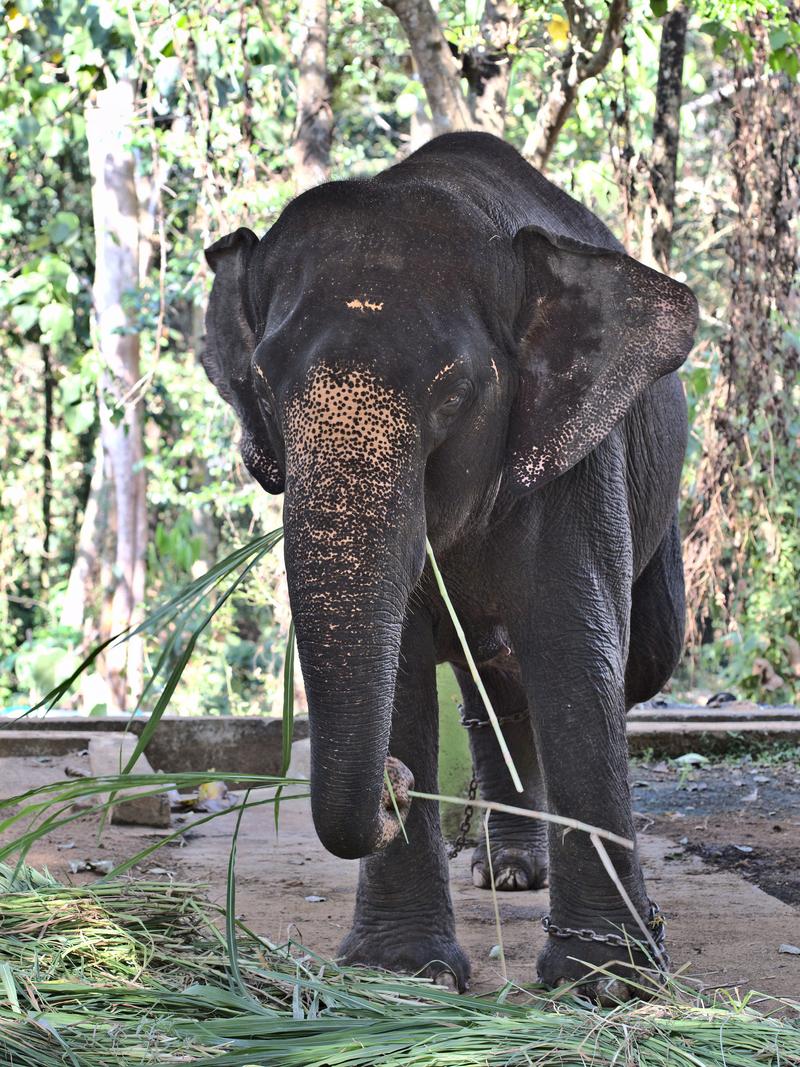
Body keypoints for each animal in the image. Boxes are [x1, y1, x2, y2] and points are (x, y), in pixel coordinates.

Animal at [203, 129, 699, 994]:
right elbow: (402, 667)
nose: (393, 784)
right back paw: (507, 874)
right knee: (492, 681)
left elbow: (575, 651)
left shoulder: (575, 461)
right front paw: (404, 972)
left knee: (641, 658)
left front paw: (608, 981)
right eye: (261, 381)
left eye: (456, 390)